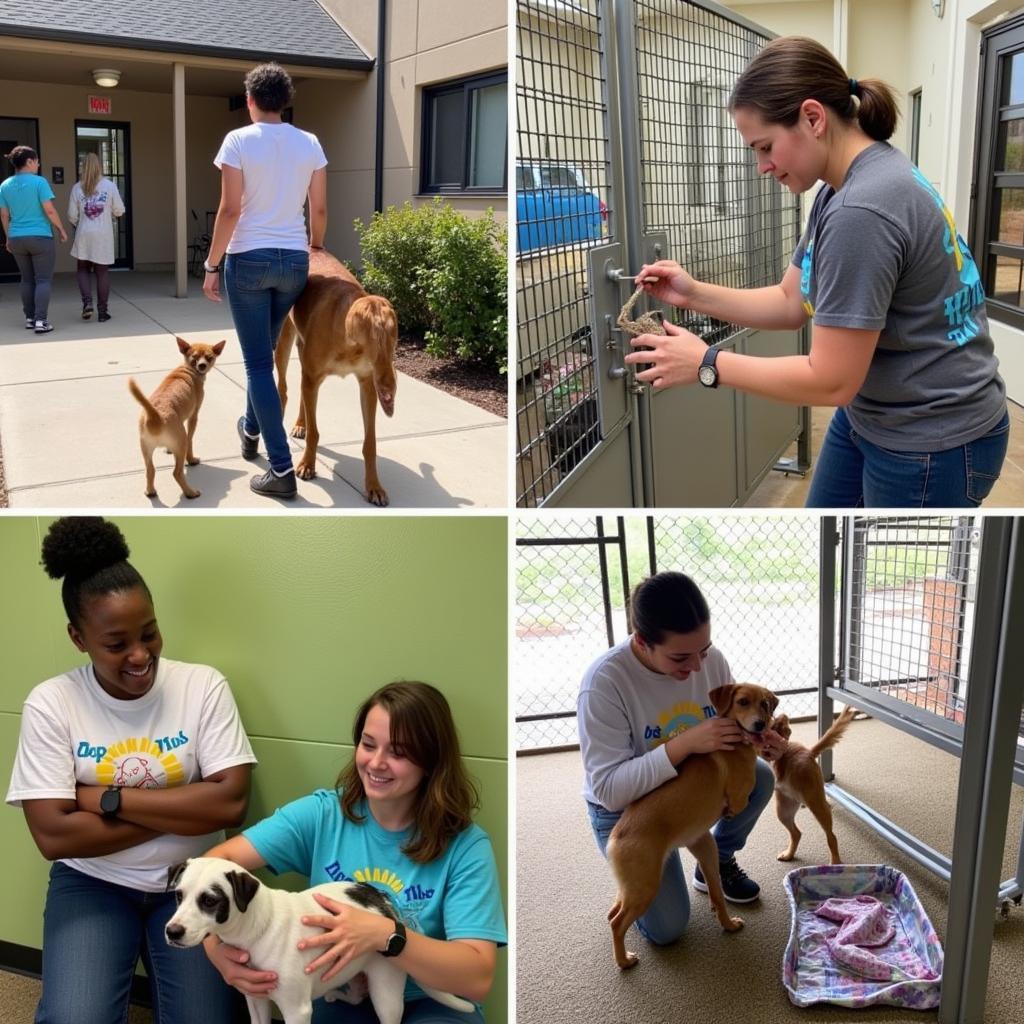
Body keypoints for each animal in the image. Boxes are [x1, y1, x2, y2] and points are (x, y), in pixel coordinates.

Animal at [126, 337, 225, 501]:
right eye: (195, 358)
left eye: (209, 357)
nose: (202, 365)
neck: (188, 369)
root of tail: (155, 416)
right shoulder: (193, 417)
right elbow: (191, 440)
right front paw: (191, 459)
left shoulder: (180, 428)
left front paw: (168, 450)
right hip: (179, 441)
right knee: (177, 472)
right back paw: (190, 492)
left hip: (145, 448)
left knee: (150, 470)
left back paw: (150, 491)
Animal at [165, 856, 473, 1024]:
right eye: (178, 895)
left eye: (209, 900)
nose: (172, 931)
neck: (257, 928)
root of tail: (383, 901)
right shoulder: (256, 1000)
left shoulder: (296, 1011)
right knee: (355, 995)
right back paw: (336, 993)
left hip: (386, 993)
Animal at [274, 247, 397, 503]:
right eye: (374, 339)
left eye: (394, 338)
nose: (389, 386)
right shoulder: (314, 377)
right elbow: (314, 433)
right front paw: (307, 465)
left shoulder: (367, 386)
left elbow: (370, 443)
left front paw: (374, 486)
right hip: (284, 342)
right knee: (284, 387)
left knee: (302, 392)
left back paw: (300, 424)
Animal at [602, 684, 778, 970]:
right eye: (742, 702)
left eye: (765, 704)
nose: (761, 724)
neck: (736, 744)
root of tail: (615, 838)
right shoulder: (738, 796)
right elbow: (737, 804)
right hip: (645, 887)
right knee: (617, 924)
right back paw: (624, 960)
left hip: (657, 874)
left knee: (615, 912)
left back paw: (727, 923)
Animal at [770, 708, 856, 868]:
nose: (783, 716)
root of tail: (808, 752)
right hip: (783, 809)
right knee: (796, 833)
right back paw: (789, 854)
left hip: (816, 804)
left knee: (831, 837)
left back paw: (835, 862)